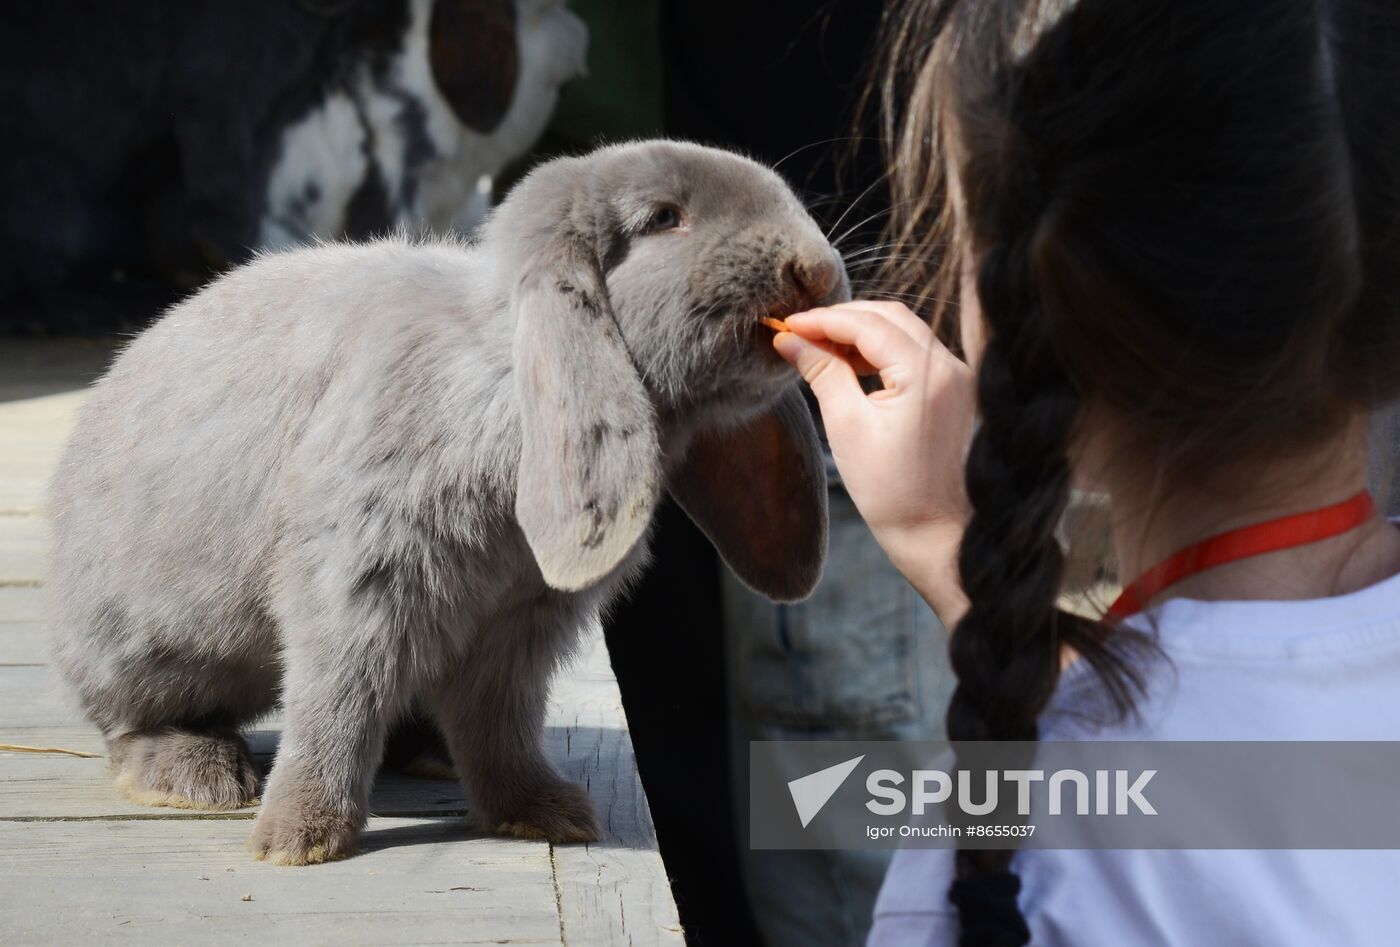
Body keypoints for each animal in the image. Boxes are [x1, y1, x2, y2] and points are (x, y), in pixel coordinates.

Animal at [49, 140, 845, 862]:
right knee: (134, 721)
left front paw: (544, 813)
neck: (505, 385)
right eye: (664, 218)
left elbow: (502, 725)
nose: (816, 270)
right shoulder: (356, 584)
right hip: (147, 651)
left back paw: (430, 753)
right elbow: (334, 704)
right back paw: (198, 778)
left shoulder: (518, 627)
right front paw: (297, 840)